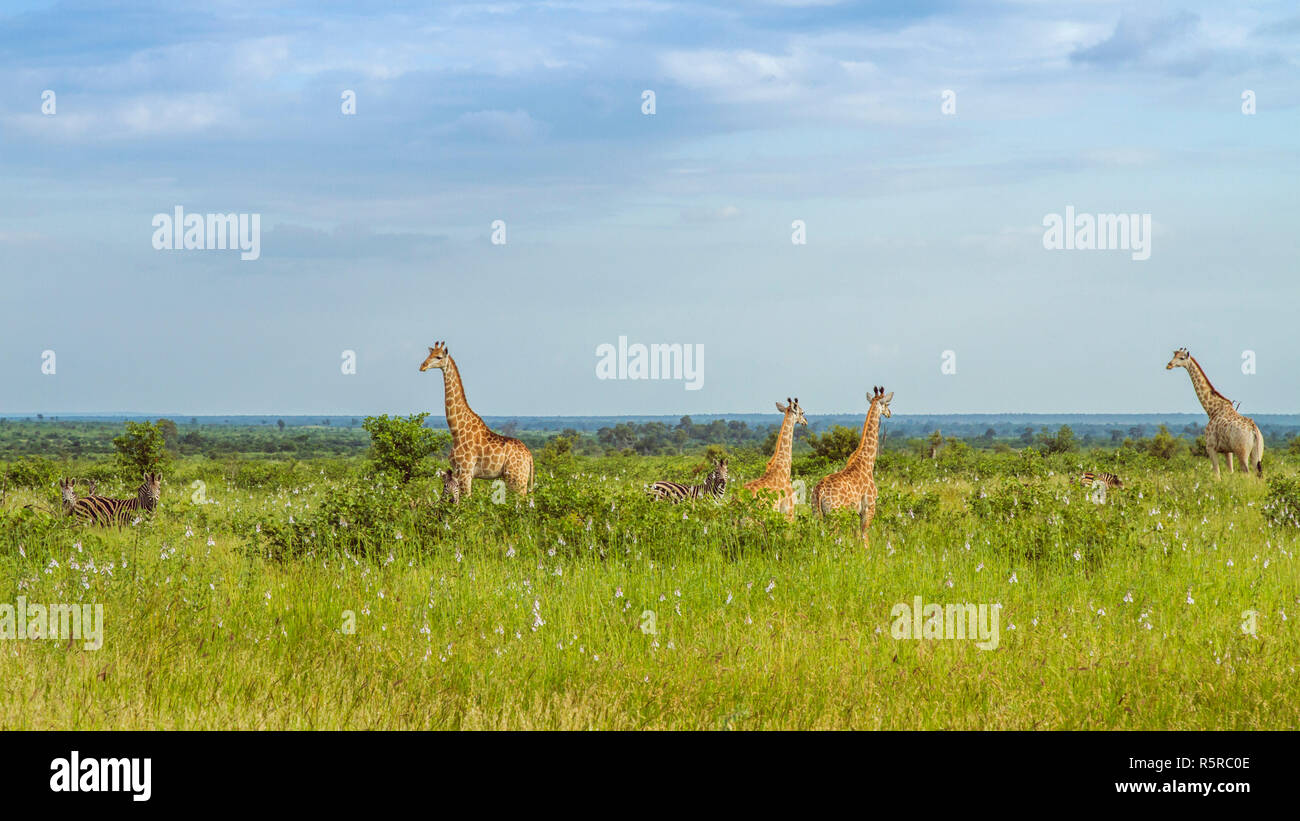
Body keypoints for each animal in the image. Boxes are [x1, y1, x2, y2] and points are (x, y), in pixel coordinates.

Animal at [421, 340, 533, 496]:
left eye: (438, 357)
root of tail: (529, 456)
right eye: (429, 354)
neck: (456, 430)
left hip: (517, 479)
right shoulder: (457, 472)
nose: (423, 366)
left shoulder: (466, 472)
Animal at [811, 384, 894, 545]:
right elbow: (864, 535)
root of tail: (820, 491)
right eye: (887, 404)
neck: (867, 463)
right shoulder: (869, 507)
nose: (889, 413)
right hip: (834, 515)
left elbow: (857, 535)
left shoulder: (855, 511)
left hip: (816, 513)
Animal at [1170, 350, 1258, 478]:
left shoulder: (1210, 447)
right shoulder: (1227, 450)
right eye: (1173, 355)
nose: (1169, 365)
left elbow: (1217, 475)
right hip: (1257, 453)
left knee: (1247, 474)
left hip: (1242, 452)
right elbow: (1230, 471)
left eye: (1181, 358)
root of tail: (1253, 430)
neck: (1212, 410)